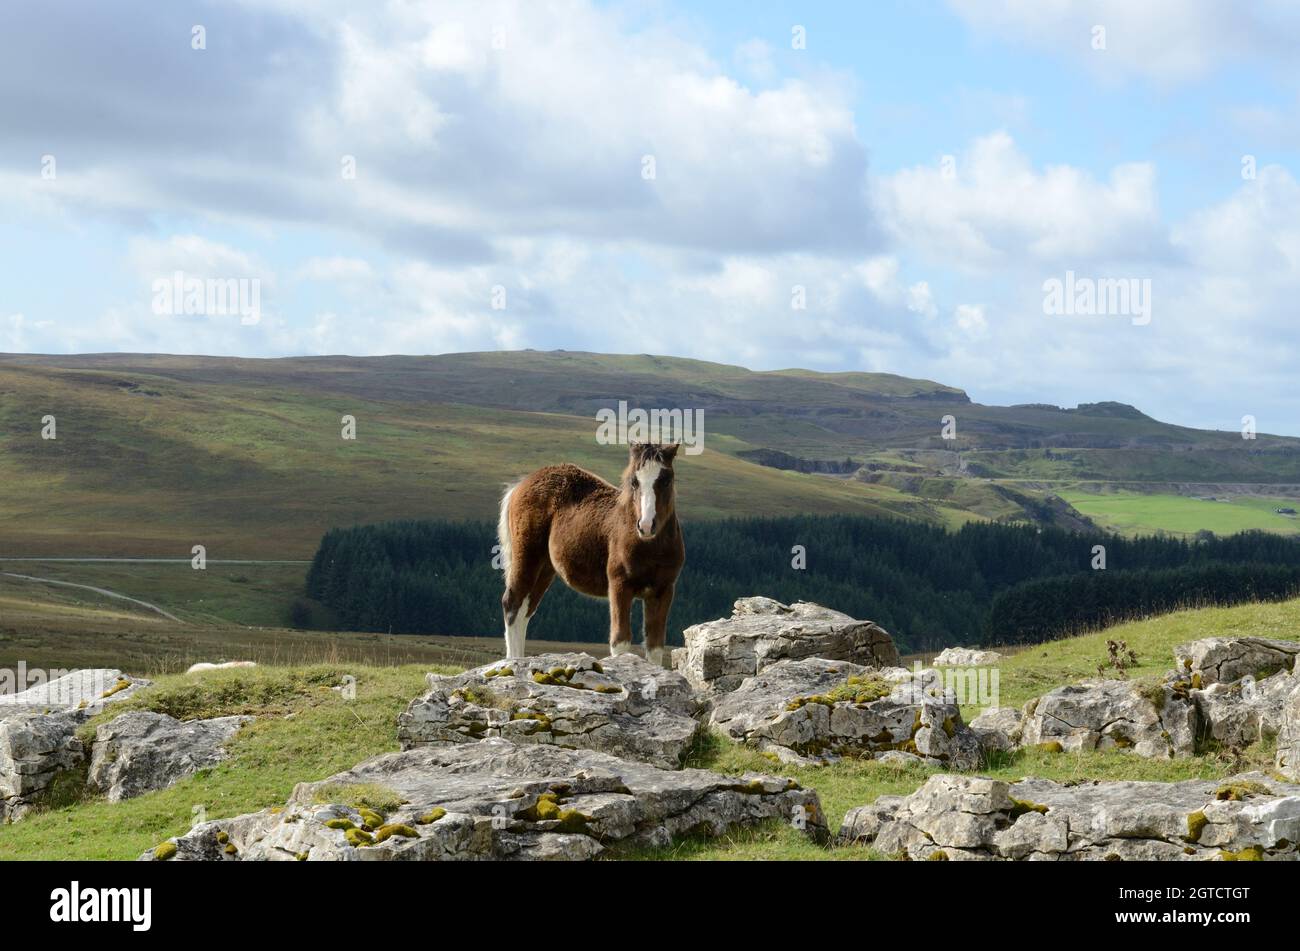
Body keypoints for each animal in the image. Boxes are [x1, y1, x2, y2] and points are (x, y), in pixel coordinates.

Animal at [493, 444, 686, 659]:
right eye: (634, 481)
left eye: (666, 479)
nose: (646, 525)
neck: (650, 547)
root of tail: (520, 485)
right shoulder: (620, 586)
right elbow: (620, 641)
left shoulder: (663, 591)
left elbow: (655, 646)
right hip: (527, 557)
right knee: (512, 604)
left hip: (545, 568)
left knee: (525, 610)